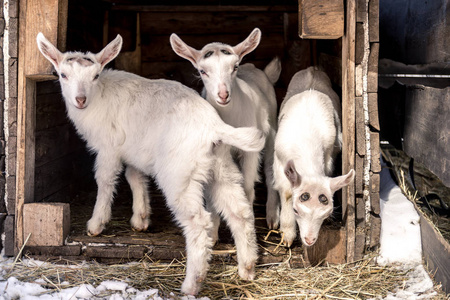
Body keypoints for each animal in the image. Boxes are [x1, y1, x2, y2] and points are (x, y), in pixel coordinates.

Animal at [37, 32, 264, 296]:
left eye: (95, 76)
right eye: (63, 75)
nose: (80, 100)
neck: (99, 96)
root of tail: (213, 127)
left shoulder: (109, 148)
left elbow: (105, 180)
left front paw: (96, 224)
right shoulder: (135, 150)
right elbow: (135, 177)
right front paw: (141, 218)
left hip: (179, 174)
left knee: (198, 223)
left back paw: (191, 284)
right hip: (221, 166)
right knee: (240, 212)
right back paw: (247, 268)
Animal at [171, 28, 284, 230]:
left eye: (235, 67)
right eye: (202, 71)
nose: (223, 95)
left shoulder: (251, 151)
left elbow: (247, 189)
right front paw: (213, 230)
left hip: (271, 131)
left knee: (270, 169)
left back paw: (272, 217)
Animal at [272, 67, 356, 247]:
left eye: (326, 214)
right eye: (296, 210)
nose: (310, 240)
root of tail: (313, 69)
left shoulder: (329, 158)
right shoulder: (279, 161)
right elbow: (287, 193)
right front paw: (287, 235)